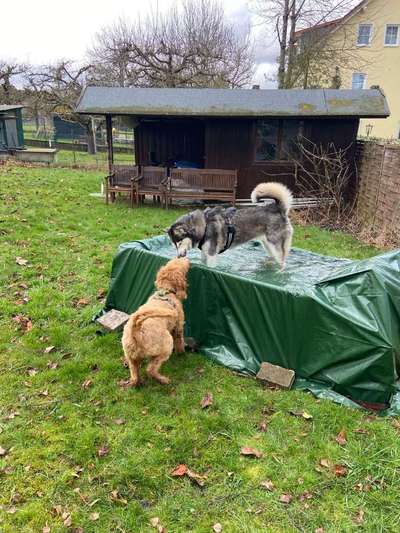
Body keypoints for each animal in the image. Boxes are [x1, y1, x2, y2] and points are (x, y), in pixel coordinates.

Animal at [121, 256, 190, 384]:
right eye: (179, 264)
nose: (185, 258)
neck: (166, 292)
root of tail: (136, 329)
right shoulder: (178, 326)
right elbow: (179, 341)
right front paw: (181, 353)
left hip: (130, 356)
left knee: (134, 374)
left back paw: (137, 382)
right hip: (166, 345)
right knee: (151, 370)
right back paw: (163, 379)